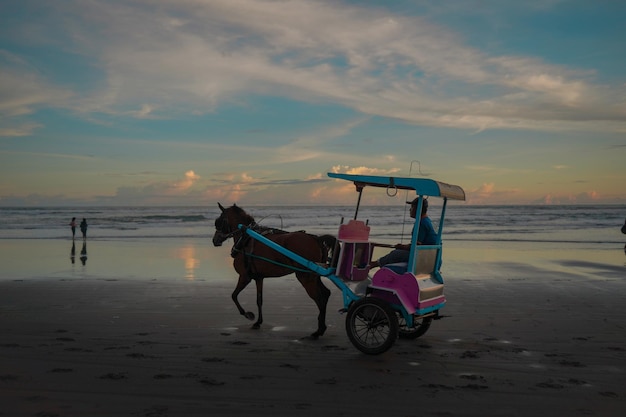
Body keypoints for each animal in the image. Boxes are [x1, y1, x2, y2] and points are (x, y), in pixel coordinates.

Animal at [211, 204, 336, 338]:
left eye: (219, 222)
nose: (214, 240)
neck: (246, 238)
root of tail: (316, 239)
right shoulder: (259, 278)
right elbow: (259, 300)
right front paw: (258, 322)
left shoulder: (245, 277)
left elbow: (234, 295)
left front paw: (248, 314)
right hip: (314, 276)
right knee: (325, 294)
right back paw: (321, 328)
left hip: (305, 277)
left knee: (319, 298)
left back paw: (319, 331)